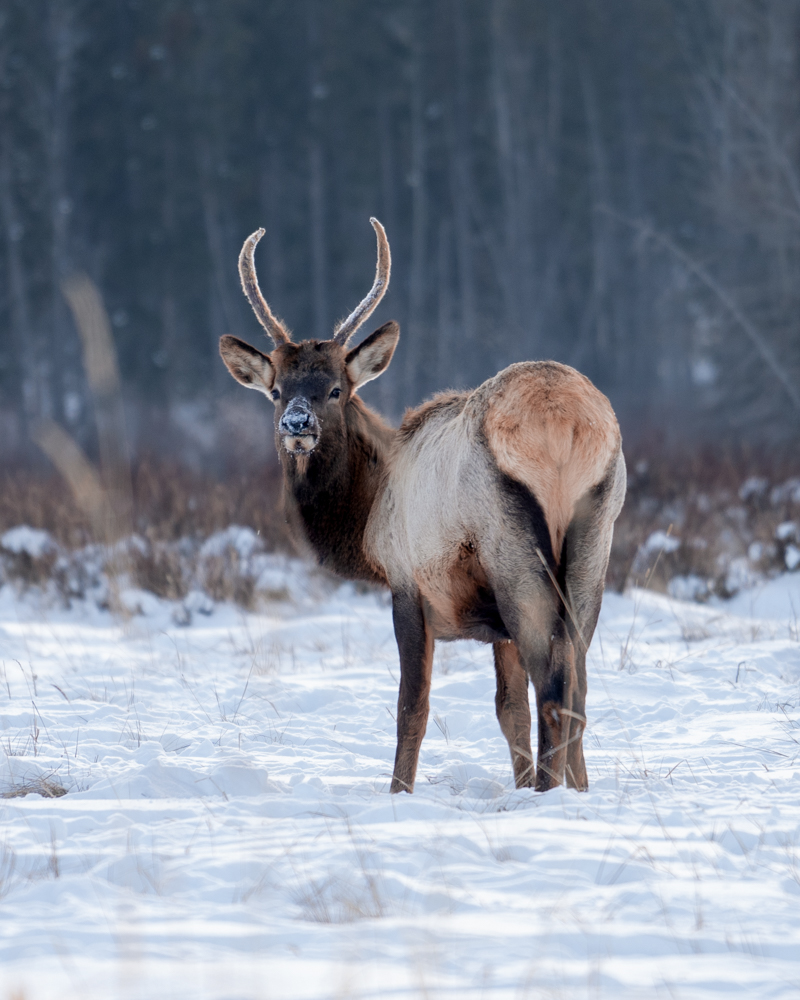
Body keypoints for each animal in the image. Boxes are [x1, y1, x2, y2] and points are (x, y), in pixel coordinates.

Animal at [219, 221, 624, 796]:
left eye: (336, 390)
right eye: (276, 391)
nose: (297, 425)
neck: (365, 518)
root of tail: (565, 422)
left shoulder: (407, 582)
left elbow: (412, 707)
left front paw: (398, 792)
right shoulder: (496, 628)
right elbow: (508, 711)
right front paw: (521, 785)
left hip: (513, 552)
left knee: (554, 684)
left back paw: (551, 792)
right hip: (595, 539)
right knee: (578, 687)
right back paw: (577, 790)